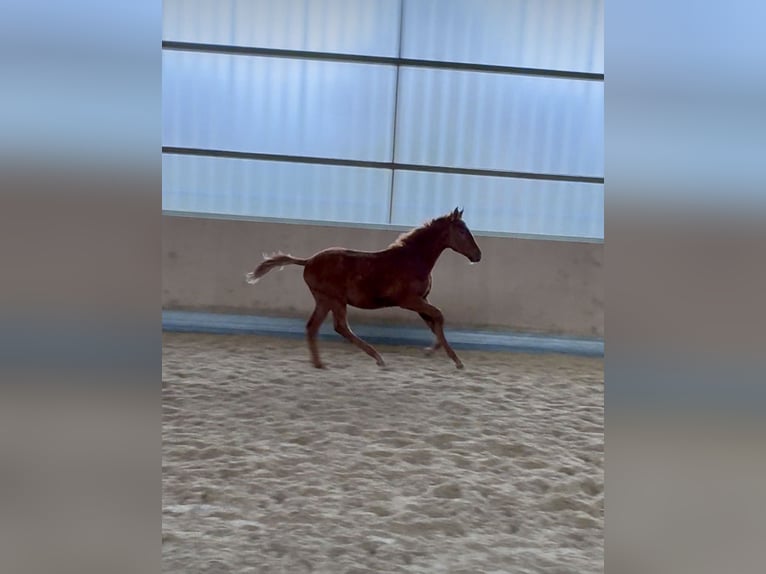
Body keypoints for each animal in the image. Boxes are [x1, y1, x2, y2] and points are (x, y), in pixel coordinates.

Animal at [245, 208, 482, 369]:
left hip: (324, 300)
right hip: (335, 299)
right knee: (340, 327)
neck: (413, 259)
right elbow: (439, 316)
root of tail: (308, 261)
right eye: (462, 231)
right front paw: (445, 356)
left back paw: (319, 364)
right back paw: (378, 358)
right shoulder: (409, 300)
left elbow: (434, 323)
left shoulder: (421, 300)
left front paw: (445, 355)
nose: (478, 255)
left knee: (313, 327)